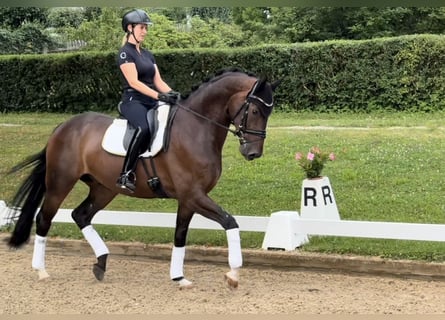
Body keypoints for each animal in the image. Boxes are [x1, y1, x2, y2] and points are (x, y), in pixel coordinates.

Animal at [6, 69, 278, 288]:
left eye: (269, 112)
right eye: (255, 110)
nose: (253, 153)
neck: (196, 128)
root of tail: (63, 127)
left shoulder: (188, 199)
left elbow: (180, 234)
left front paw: (179, 277)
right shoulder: (193, 195)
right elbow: (230, 222)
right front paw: (233, 274)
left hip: (104, 188)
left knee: (81, 215)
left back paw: (101, 263)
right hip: (60, 182)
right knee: (44, 218)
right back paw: (41, 271)